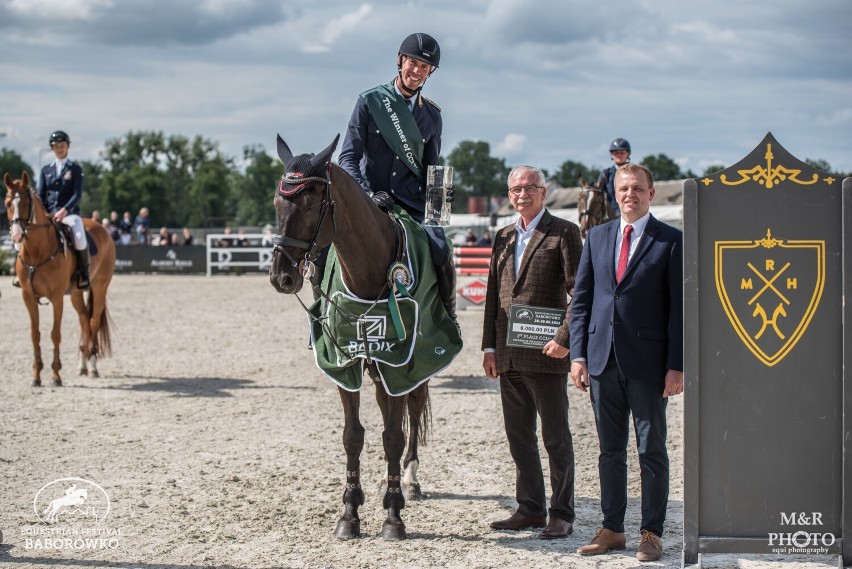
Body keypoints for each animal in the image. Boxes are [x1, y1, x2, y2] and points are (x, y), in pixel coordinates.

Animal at [3, 171, 115, 386]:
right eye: (7, 203)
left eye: (26, 203)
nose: (16, 235)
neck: (37, 251)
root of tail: (101, 228)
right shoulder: (28, 297)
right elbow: (35, 334)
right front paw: (36, 376)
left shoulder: (56, 298)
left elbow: (55, 334)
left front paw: (55, 376)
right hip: (76, 293)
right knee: (83, 320)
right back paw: (83, 365)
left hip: (100, 287)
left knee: (93, 322)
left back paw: (93, 366)